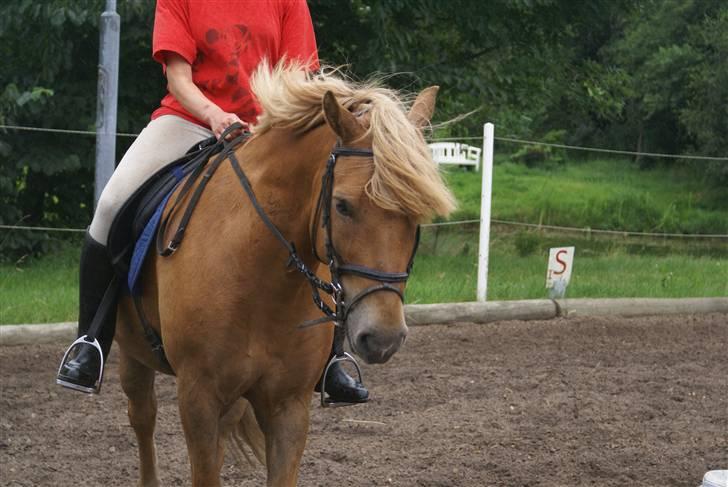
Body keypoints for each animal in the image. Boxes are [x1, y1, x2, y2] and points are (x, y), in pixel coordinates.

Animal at [112, 63, 456, 486]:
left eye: (417, 214)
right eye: (342, 206)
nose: (383, 338)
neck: (259, 280)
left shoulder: (288, 406)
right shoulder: (198, 399)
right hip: (133, 353)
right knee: (143, 417)